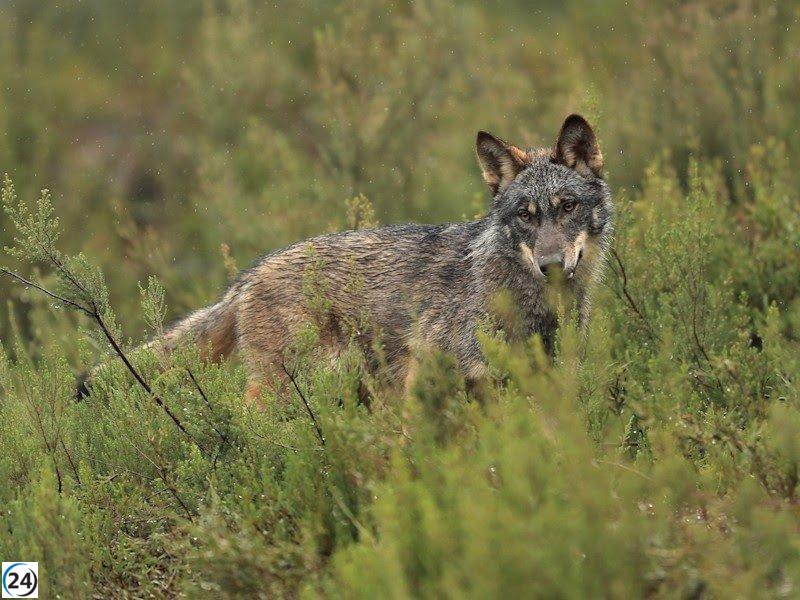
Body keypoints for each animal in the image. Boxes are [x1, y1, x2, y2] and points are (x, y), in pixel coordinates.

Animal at [79, 115, 613, 403]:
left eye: (567, 207)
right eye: (525, 216)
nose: (550, 266)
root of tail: (246, 277)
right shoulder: (433, 373)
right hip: (289, 387)